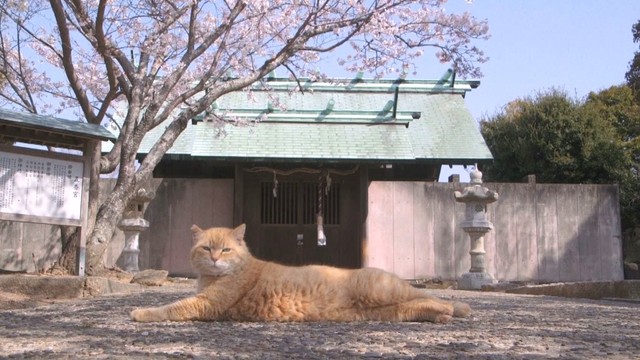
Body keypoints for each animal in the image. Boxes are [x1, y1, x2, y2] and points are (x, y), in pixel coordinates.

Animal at [131, 225, 470, 324]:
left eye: (225, 250)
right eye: (206, 248)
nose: (214, 258)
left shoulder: (205, 304)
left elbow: (171, 307)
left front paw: (141, 312)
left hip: (382, 290)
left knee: (428, 295)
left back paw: (458, 308)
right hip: (389, 311)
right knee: (421, 303)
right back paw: (445, 314)